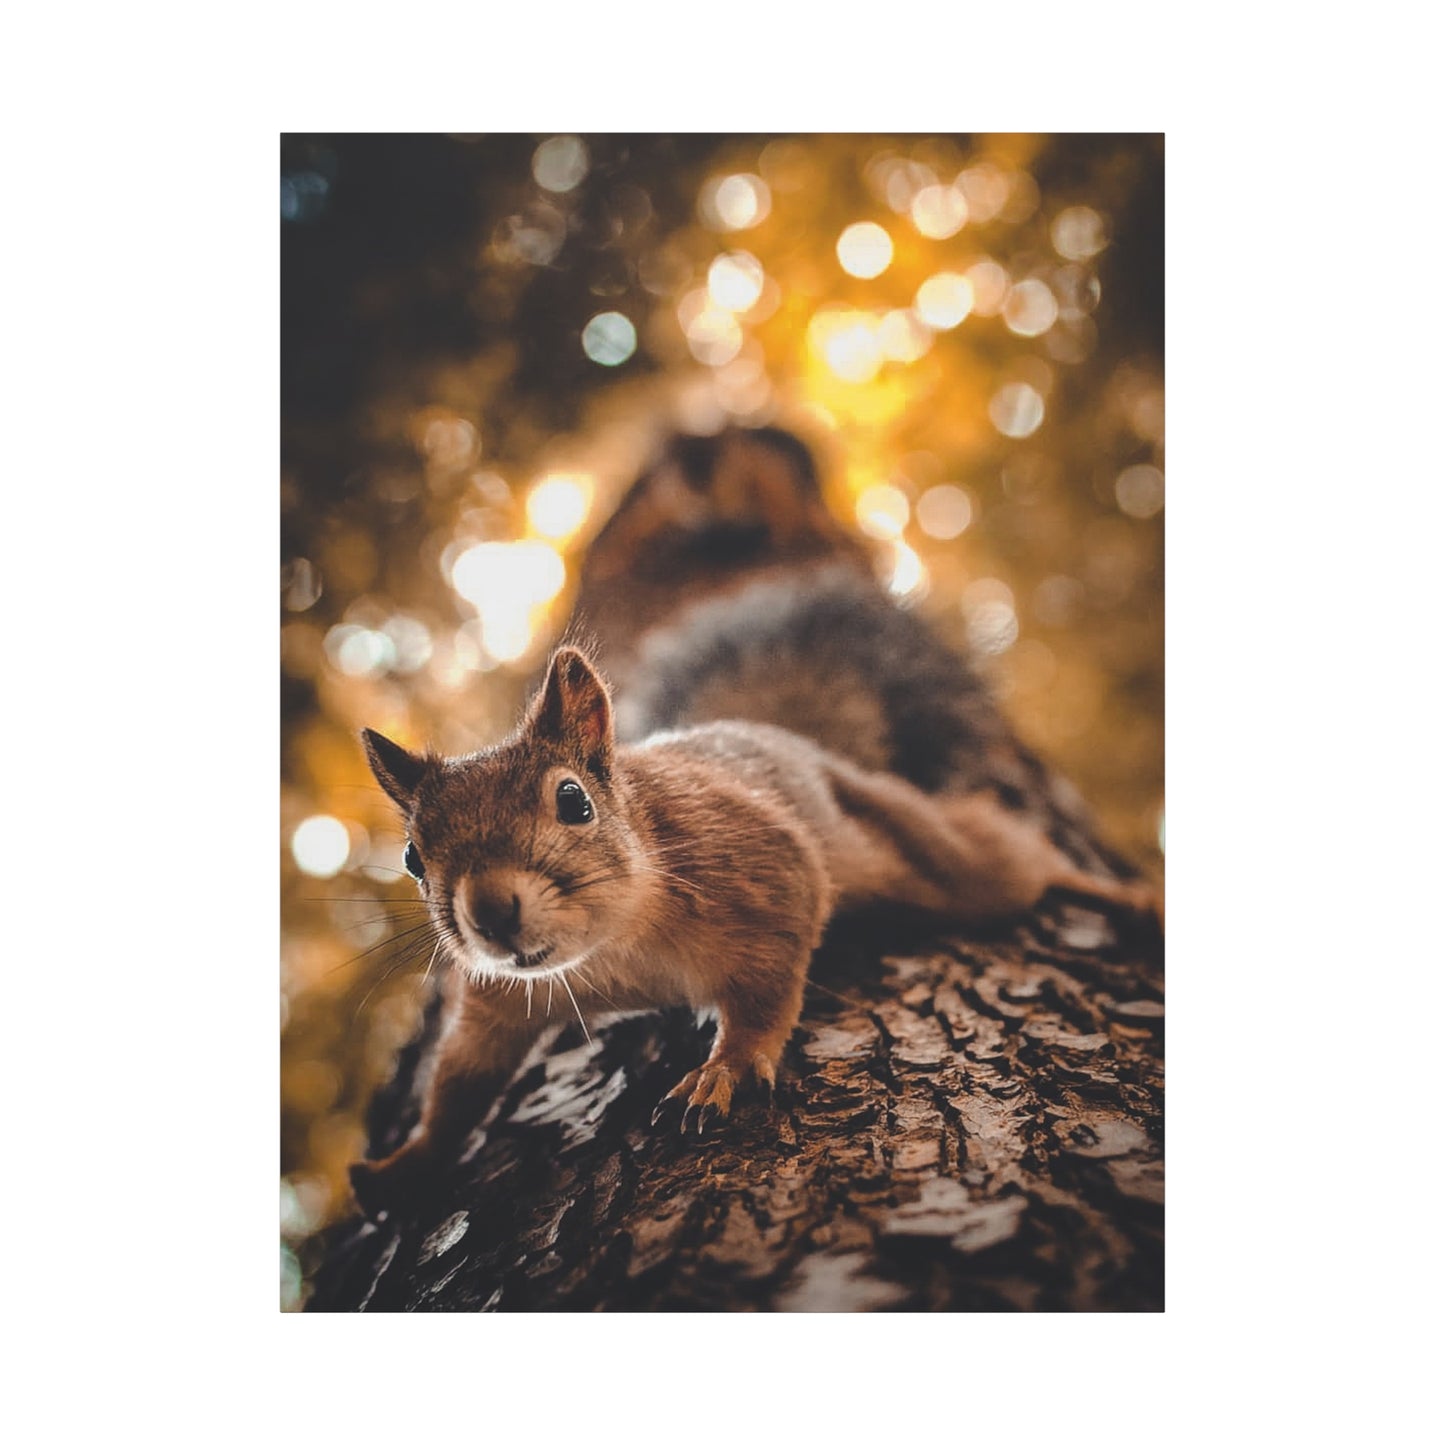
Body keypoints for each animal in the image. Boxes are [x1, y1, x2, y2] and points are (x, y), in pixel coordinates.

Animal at [349, 644, 1157, 1218]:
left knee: (1021, 859)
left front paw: (727, 1066)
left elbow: (765, 992)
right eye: (413, 856)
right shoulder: (502, 997)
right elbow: (462, 1079)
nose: (489, 913)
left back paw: (1124, 894)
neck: (610, 952)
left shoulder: (766, 874)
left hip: (946, 862)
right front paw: (406, 1164)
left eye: (573, 801)